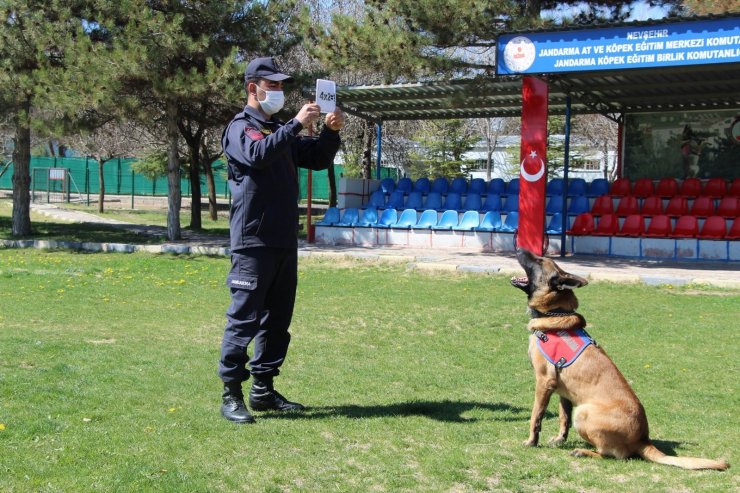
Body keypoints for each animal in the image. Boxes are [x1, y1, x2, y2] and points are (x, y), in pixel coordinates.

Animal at [508, 248, 728, 470]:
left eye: (539, 261)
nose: (519, 248)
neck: (554, 313)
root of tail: (643, 439)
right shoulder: (562, 389)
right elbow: (563, 417)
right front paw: (560, 439)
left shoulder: (544, 382)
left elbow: (536, 415)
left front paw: (532, 441)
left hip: (584, 412)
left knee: (615, 455)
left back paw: (584, 451)